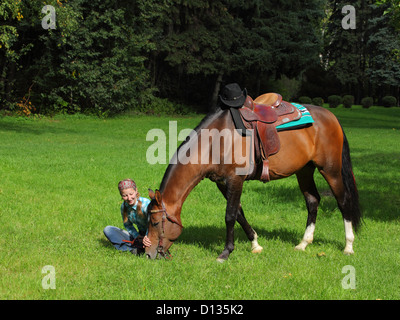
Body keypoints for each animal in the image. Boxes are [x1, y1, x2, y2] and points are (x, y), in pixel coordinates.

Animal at [145, 99, 362, 262]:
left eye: (155, 223)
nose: (148, 253)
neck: (216, 141)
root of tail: (331, 116)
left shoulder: (235, 180)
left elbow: (230, 215)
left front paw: (226, 252)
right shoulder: (222, 183)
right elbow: (239, 213)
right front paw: (255, 244)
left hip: (330, 170)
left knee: (343, 201)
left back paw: (349, 246)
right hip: (304, 171)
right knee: (313, 201)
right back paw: (303, 243)